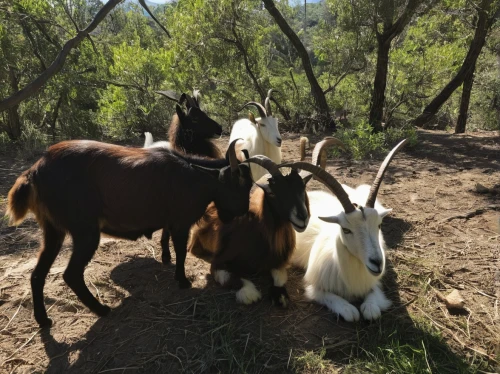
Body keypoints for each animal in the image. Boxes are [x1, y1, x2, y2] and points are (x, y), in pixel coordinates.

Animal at [288, 140, 408, 322]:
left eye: (379, 225)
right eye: (346, 229)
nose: (377, 263)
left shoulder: (374, 282)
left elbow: (371, 308)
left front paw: (370, 307)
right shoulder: (315, 288)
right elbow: (344, 308)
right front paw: (348, 309)